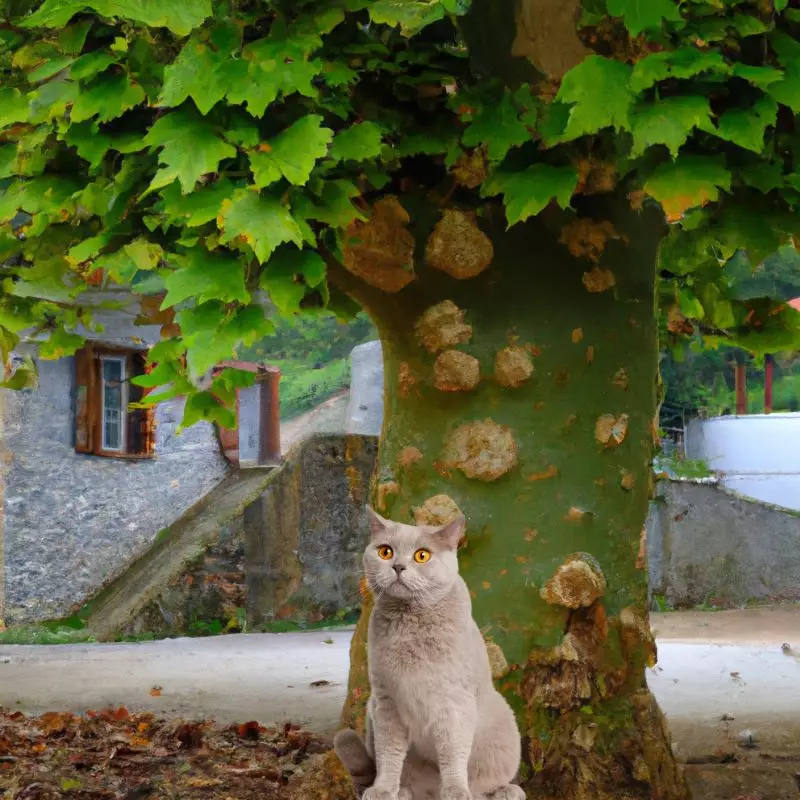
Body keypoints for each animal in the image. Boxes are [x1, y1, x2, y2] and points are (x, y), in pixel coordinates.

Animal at [332, 510, 524, 796]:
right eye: (386, 552)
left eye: (422, 555)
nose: (398, 566)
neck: (410, 624)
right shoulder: (386, 702)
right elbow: (389, 754)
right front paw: (383, 790)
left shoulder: (453, 704)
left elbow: (453, 754)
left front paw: (456, 792)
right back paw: (403, 792)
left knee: (485, 784)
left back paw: (505, 791)